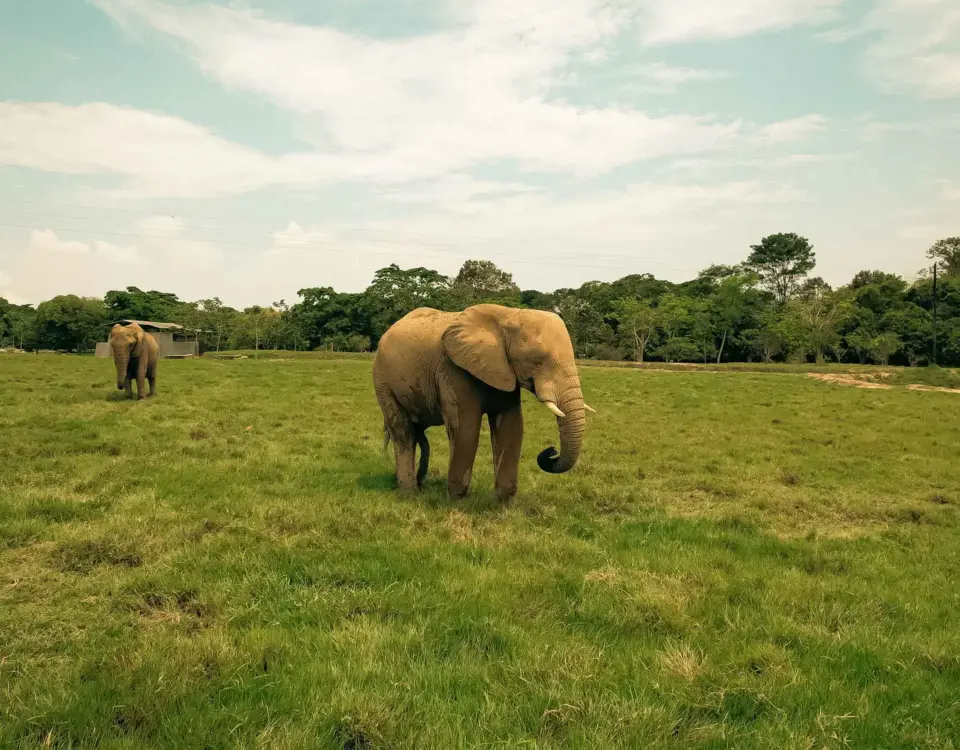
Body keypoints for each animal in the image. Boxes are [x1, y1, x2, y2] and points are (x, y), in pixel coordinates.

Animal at [373, 304, 595, 502]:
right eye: (536, 362)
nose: (551, 451)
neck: (509, 315)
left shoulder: (505, 371)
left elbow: (511, 427)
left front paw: (504, 503)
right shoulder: (453, 369)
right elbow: (466, 428)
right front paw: (457, 501)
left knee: (417, 431)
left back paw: (418, 485)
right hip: (382, 380)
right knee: (402, 431)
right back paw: (409, 492)